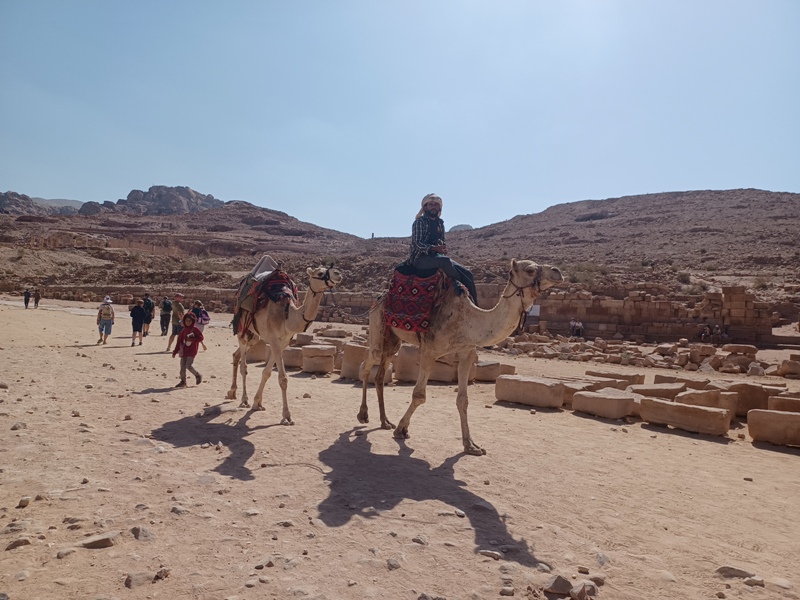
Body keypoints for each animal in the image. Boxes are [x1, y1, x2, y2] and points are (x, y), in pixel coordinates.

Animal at [226, 265, 343, 424]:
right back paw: (244, 400)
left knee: (236, 355)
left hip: (255, 336)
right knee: (243, 365)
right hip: (242, 329)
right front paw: (287, 416)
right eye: (320, 273)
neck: (288, 316)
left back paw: (232, 392)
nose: (338, 274)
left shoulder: (283, 342)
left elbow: (267, 372)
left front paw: (258, 403)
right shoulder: (274, 341)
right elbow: (283, 379)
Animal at [358, 259, 563, 455]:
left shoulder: (467, 353)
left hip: (393, 341)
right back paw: (362, 415)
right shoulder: (429, 351)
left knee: (380, 375)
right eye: (530, 270)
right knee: (367, 364)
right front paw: (401, 429)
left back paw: (384, 421)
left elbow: (463, 400)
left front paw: (471, 446)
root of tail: (380, 297)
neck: (467, 320)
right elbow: (419, 395)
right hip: (377, 326)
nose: (557, 272)